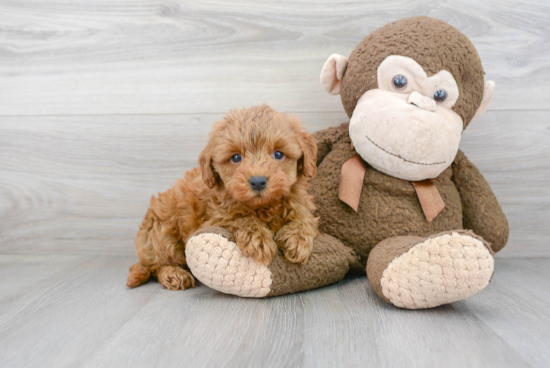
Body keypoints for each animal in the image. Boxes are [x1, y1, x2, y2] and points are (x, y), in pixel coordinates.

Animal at [126, 105, 320, 290]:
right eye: (236, 158)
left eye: (278, 154)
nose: (258, 181)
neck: (263, 207)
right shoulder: (214, 218)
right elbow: (239, 218)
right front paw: (257, 238)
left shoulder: (300, 204)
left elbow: (304, 219)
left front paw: (297, 241)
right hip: (161, 233)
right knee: (158, 265)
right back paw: (174, 274)